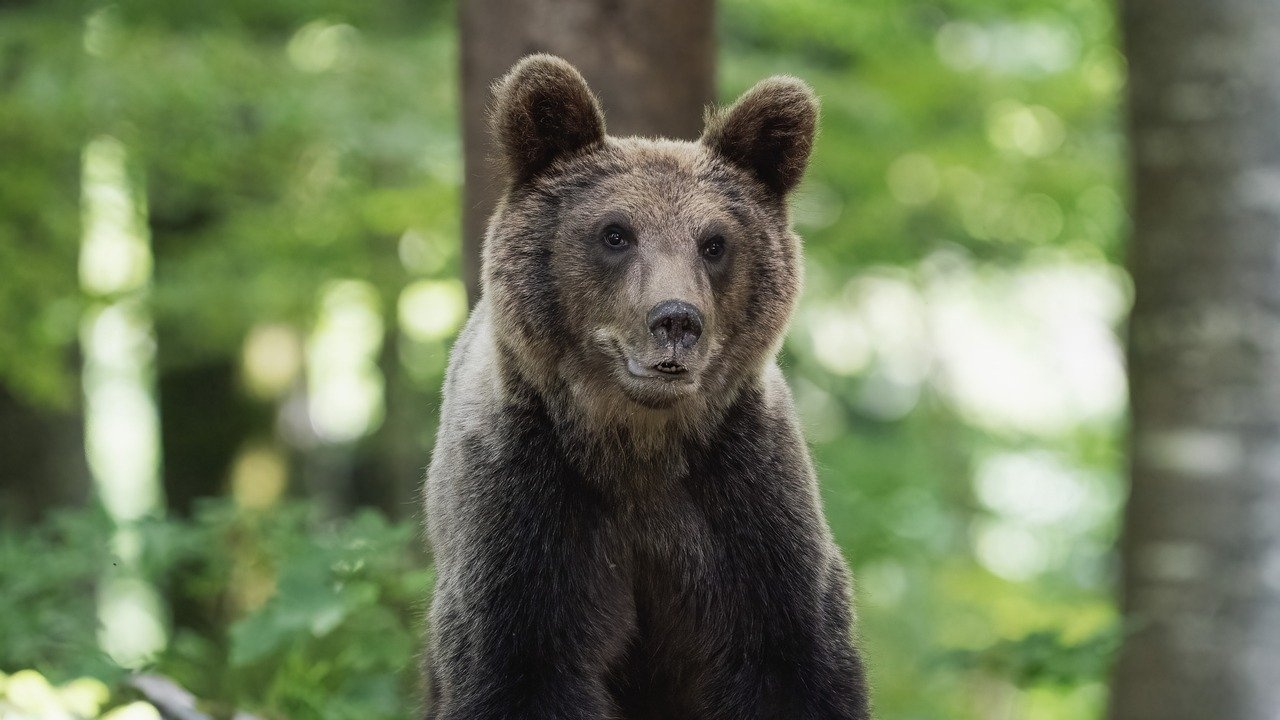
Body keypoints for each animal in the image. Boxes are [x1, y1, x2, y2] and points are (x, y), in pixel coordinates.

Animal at [419, 53, 870, 712]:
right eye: (615, 233)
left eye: (714, 242)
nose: (676, 320)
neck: (638, 445)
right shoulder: (526, 511)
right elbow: (521, 668)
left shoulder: (748, 510)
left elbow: (793, 661)